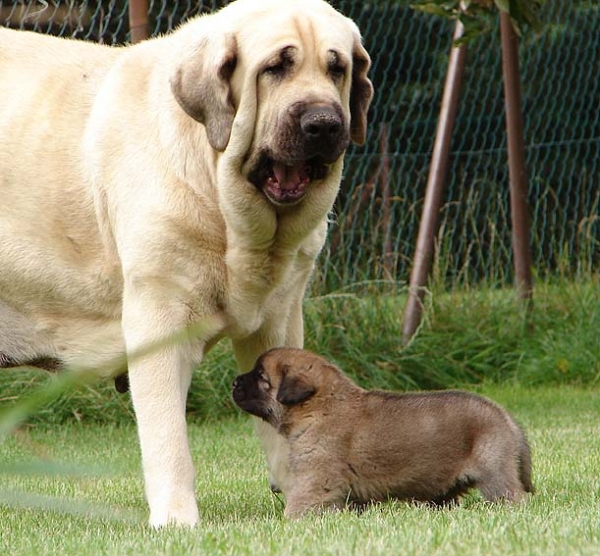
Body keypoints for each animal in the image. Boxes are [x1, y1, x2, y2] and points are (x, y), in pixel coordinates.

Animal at [0, 0, 372, 524]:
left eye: (336, 68)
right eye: (275, 67)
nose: (323, 123)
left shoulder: (278, 319)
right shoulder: (158, 319)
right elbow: (168, 438)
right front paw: (176, 521)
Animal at [232, 348, 532, 516]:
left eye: (261, 376)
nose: (234, 381)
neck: (319, 406)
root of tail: (505, 417)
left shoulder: (314, 482)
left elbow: (297, 506)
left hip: (495, 477)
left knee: (512, 497)